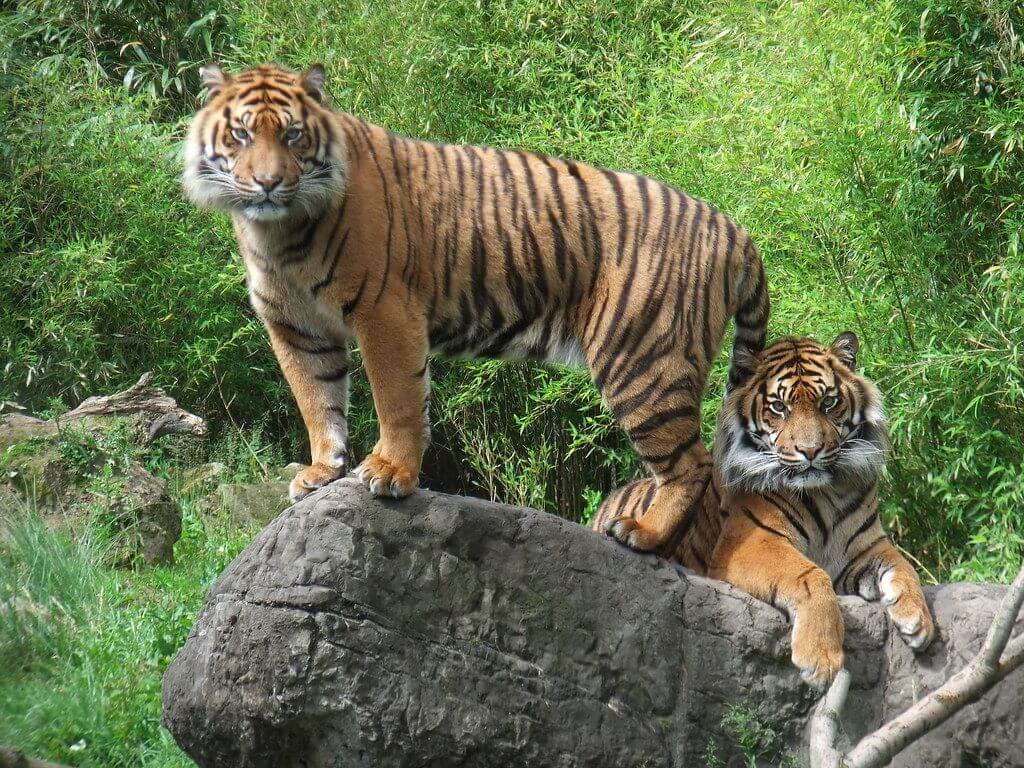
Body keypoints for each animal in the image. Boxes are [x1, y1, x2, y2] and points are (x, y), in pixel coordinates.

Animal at [182, 62, 769, 556]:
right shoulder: (297, 326)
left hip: (642, 358)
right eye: (240, 135)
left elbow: (395, 399)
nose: (268, 182)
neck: (278, 233)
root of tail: (735, 229)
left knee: (694, 464)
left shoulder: (384, 311)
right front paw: (322, 471)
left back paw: (643, 534)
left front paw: (390, 472)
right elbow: (316, 400)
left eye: (292, 135)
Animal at [593, 332, 936, 684]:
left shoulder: (866, 547)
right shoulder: (753, 542)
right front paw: (820, 659)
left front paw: (918, 622)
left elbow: (903, 565)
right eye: (779, 407)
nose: (810, 451)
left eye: (828, 403)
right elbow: (810, 576)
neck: (826, 492)